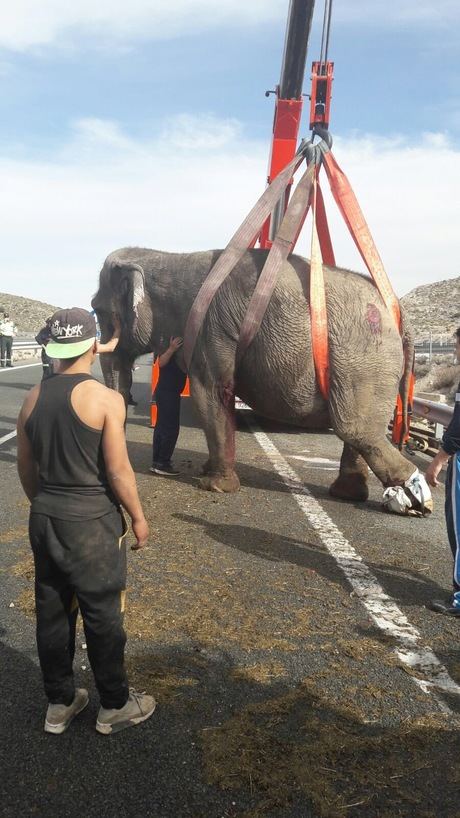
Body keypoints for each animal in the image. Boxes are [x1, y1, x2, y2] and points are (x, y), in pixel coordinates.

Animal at [92, 245, 432, 512]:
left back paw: (416, 496)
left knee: (355, 429)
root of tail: (398, 309)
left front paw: (214, 486)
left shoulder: (211, 329)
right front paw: (208, 472)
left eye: (98, 311)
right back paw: (349, 494)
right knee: (358, 430)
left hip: (363, 358)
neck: (167, 256)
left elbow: (210, 392)